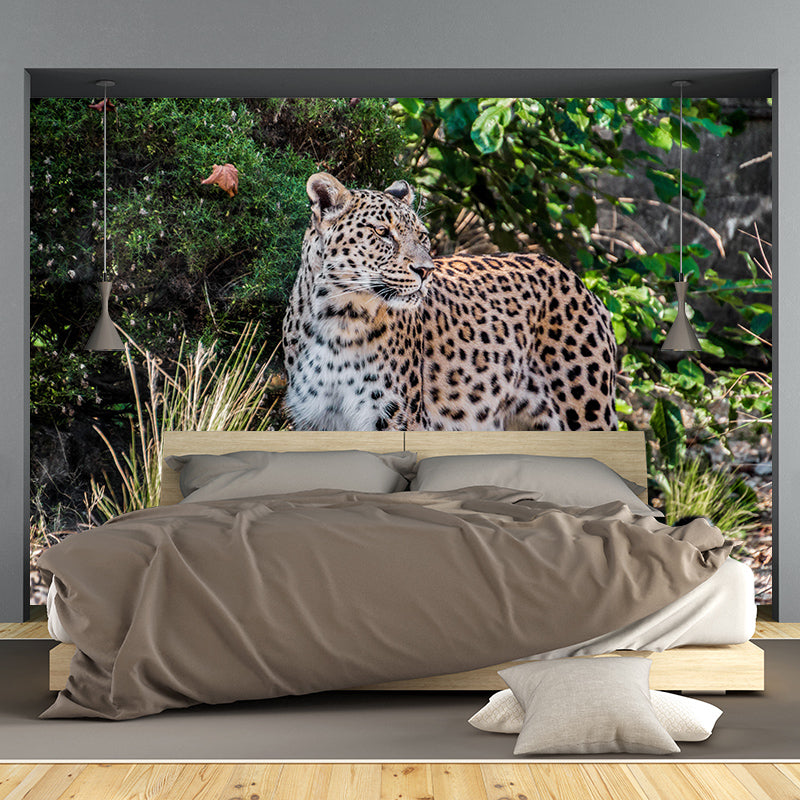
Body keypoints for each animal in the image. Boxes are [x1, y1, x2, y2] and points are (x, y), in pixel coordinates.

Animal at [282, 172, 617, 432]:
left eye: (423, 236)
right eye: (382, 232)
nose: (426, 270)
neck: (338, 318)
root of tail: (577, 279)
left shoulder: (394, 420)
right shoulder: (315, 419)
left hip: (586, 414)